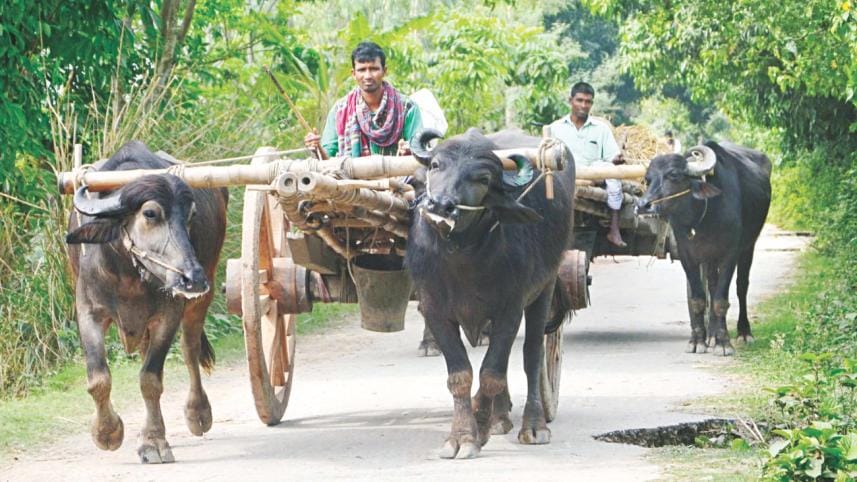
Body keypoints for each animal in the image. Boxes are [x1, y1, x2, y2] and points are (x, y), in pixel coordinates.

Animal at [66, 141, 228, 463]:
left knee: (190, 350)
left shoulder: (169, 314)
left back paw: (198, 413)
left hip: (202, 299)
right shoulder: (88, 311)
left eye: (190, 216)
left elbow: (150, 379)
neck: (128, 272)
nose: (193, 278)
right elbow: (98, 378)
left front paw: (153, 442)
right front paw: (107, 432)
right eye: (150, 214)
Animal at [407, 128, 574, 459]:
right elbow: (461, 375)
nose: (440, 206)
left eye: (482, 179)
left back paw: (533, 425)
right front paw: (461, 436)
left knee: (531, 356)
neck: (462, 255)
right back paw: (500, 418)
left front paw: (479, 429)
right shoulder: (434, 309)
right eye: (436, 165)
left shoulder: (510, 308)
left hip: (545, 289)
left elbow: (491, 373)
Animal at [636, 141, 771, 355]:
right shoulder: (687, 256)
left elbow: (720, 300)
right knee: (712, 285)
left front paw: (724, 343)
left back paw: (743, 333)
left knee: (741, 286)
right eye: (647, 179)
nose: (643, 206)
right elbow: (699, 299)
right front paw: (697, 341)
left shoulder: (729, 254)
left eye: (674, 175)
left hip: (748, 246)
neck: (703, 217)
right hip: (709, 258)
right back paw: (711, 335)